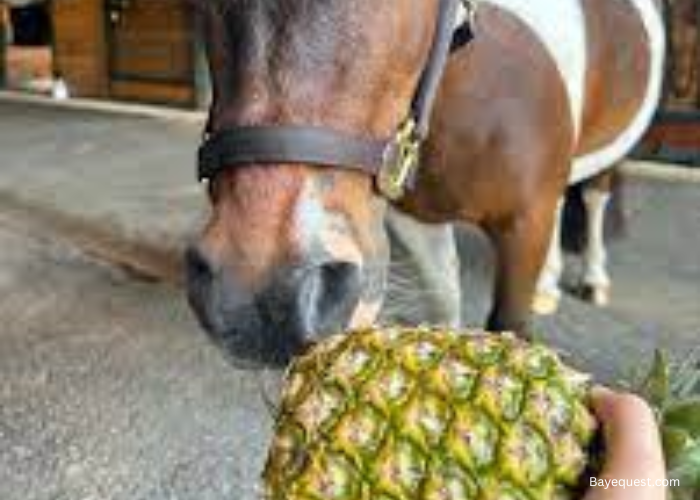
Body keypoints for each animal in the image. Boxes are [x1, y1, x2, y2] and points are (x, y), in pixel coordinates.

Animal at [185, 0, 665, 365]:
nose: (263, 301)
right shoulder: (417, 221)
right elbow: (444, 303)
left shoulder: (526, 222)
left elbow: (510, 326)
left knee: (596, 196)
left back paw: (594, 280)